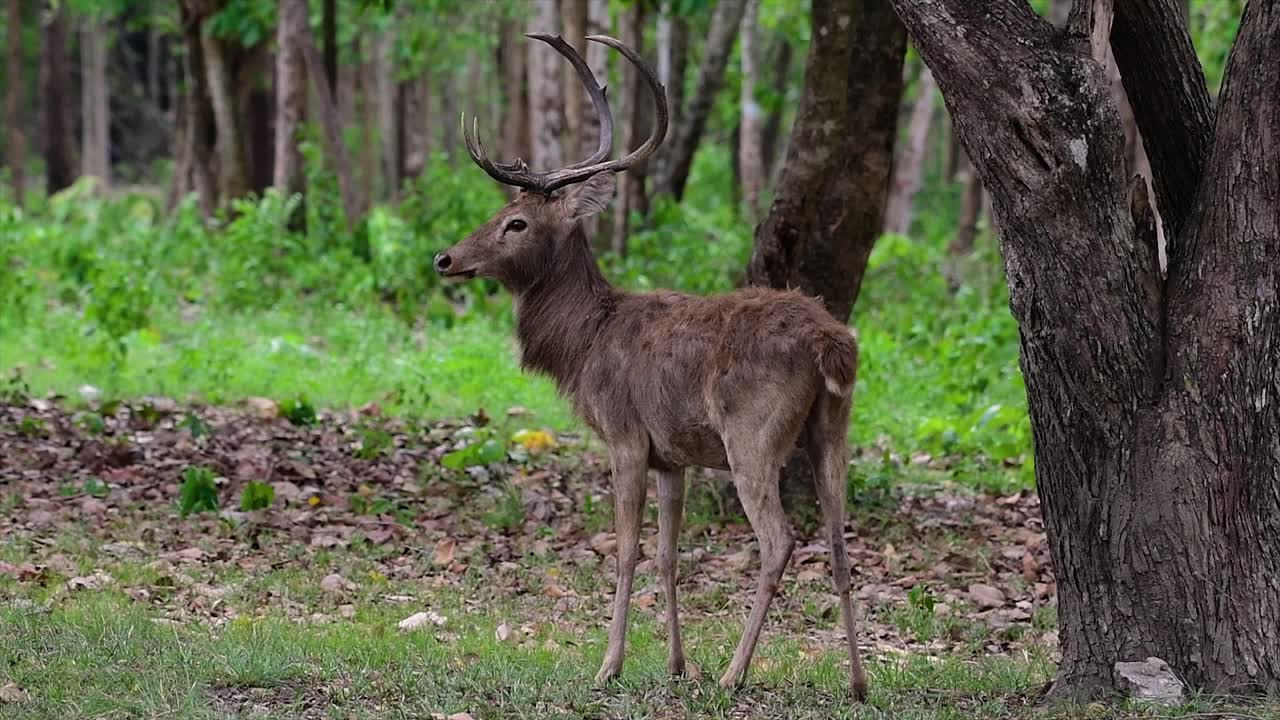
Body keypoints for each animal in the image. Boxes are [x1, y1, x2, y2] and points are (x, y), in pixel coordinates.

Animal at [434, 33, 869, 701]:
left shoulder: (626, 435)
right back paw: (857, 682)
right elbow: (668, 555)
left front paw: (609, 665)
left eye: (516, 222)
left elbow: (624, 551)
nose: (445, 258)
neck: (583, 345)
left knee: (780, 541)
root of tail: (833, 342)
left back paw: (734, 674)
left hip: (753, 433)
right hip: (833, 426)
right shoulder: (673, 455)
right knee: (841, 541)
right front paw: (675, 664)